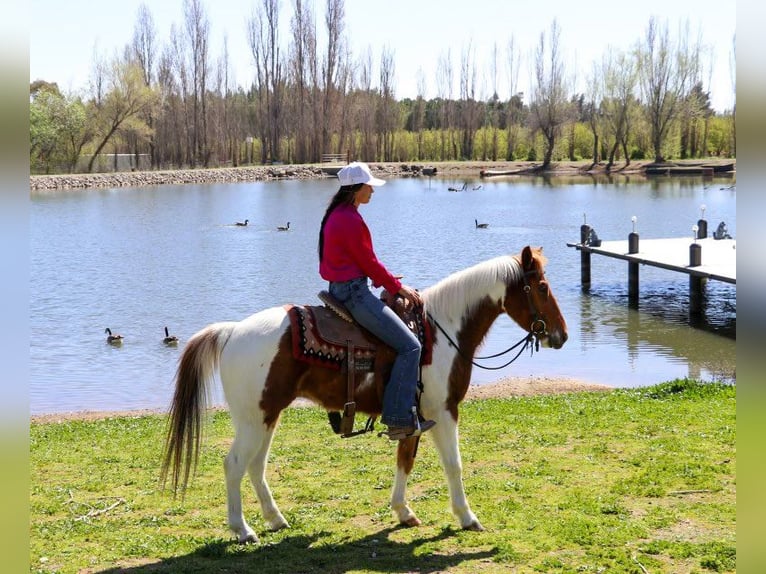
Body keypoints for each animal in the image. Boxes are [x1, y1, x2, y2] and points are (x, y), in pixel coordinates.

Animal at [164, 245, 568, 544]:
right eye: (542, 287)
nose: (561, 335)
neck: (442, 331)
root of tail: (231, 331)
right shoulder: (444, 410)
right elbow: (453, 464)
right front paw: (467, 517)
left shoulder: (414, 416)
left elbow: (405, 460)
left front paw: (404, 512)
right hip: (253, 420)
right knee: (234, 465)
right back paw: (243, 529)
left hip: (266, 417)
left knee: (255, 465)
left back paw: (275, 519)